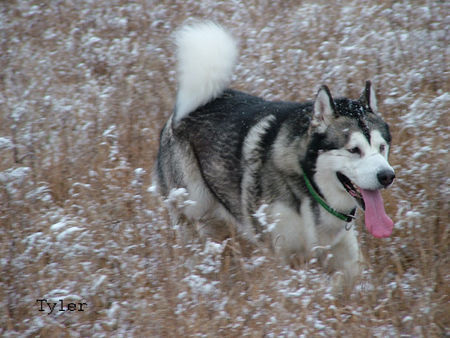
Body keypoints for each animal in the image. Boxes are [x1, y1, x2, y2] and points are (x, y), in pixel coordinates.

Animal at [154, 21, 394, 290]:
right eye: (354, 150)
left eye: (381, 147)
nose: (387, 176)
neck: (311, 187)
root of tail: (180, 112)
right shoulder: (282, 255)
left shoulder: (344, 253)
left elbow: (347, 279)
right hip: (193, 205)